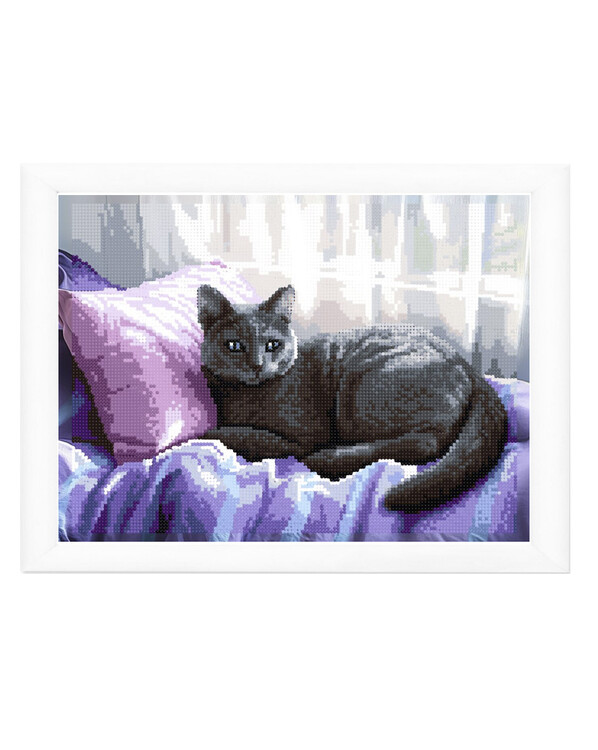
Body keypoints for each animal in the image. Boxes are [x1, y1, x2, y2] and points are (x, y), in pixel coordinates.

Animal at [197, 284, 508, 512]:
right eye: (234, 345)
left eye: (273, 344)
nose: (257, 365)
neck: (244, 395)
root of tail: (467, 364)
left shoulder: (307, 433)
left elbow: (249, 437)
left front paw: (208, 433)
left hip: (360, 392)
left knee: (425, 442)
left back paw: (329, 458)